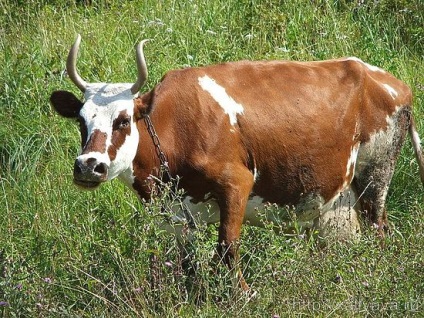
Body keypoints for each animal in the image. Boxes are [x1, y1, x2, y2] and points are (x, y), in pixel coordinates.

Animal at [50, 34, 424, 290]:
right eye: (81, 120)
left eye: (123, 120)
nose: (89, 165)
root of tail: (390, 81)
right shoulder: (174, 214)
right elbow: (187, 262)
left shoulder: (236, 184)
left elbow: (227, 247)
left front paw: (243, 295)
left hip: (375, 175)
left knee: (380, 229)